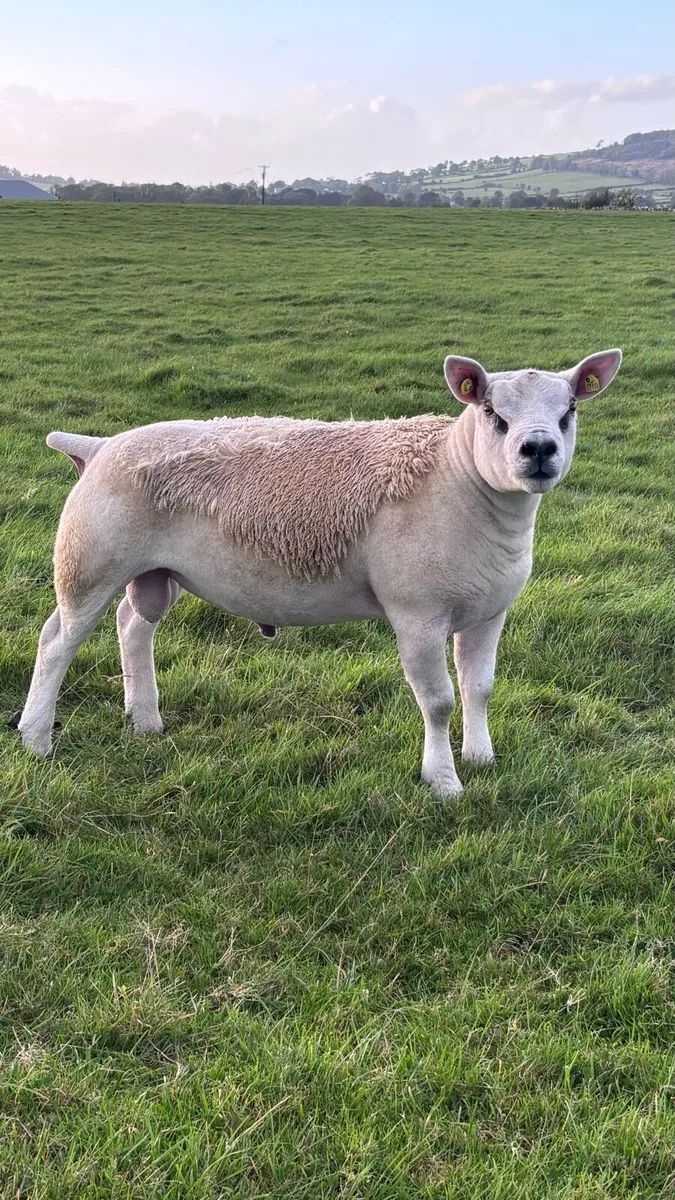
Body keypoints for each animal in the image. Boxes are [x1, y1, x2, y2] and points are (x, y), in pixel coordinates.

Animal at [15, 349, 622, 796]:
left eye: (569, 410)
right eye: (493, 414)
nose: (538, 448)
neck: (459, 480)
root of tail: (99, 446)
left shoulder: (489, 611)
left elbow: (480, 688)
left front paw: (480, 758)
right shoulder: (417, 615)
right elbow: (440, 701)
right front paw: (444, 782)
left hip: (155, 573)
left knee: (132, 625)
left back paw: (144, 720)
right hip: (89, 560)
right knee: (57, 641)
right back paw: (36, 737)